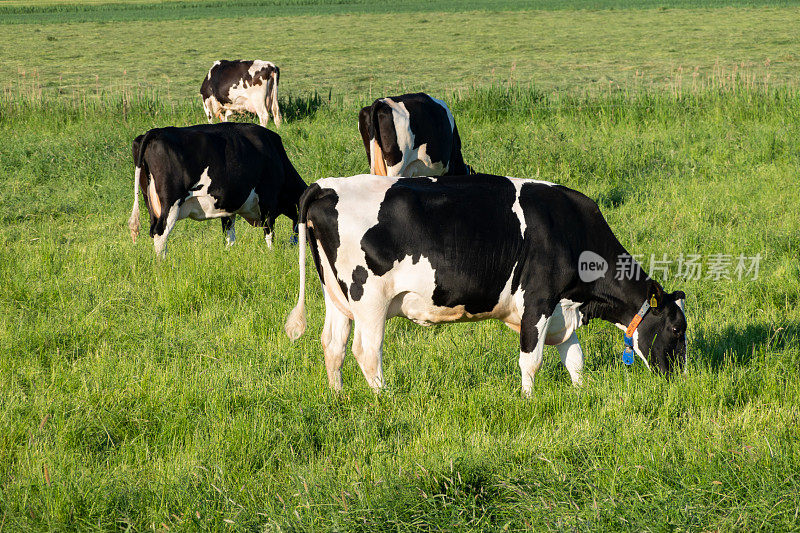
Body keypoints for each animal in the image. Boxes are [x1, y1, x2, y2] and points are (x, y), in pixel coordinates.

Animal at [128, 122, 306, 256]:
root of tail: (155, 132)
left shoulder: (228, 207)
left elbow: (229, 235)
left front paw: (228, 254)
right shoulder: (268, 201)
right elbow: (269, 232)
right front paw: (271, 254)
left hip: (150, 201)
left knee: (153, 230)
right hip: (170, 202)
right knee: (160, 233)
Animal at [282, 174, 688, 394]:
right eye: (676, 328)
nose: (680, 378)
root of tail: (326, 185)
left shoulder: (563, 308)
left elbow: (574, 359)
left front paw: (580, 393)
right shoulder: (538, 300)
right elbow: (531, 359)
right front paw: (528, 400)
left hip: (336, 296)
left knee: (333, 345)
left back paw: (338, 396)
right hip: (369, 299)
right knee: (366, 352)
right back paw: (385, 399)